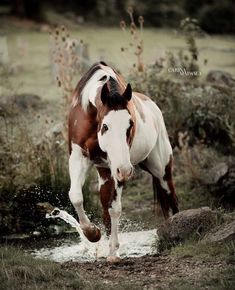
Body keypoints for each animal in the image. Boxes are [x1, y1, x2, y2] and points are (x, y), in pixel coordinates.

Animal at [68, 61, 178, 262]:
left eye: (131, 125)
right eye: (105, 126)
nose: (126, 171)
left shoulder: (117, 167)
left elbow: (115, 209)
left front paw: (113, 252)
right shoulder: (78, 156)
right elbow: (76, 196)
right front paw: (92, 233)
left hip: (161, 171)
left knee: (170, 199)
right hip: (105, 172)